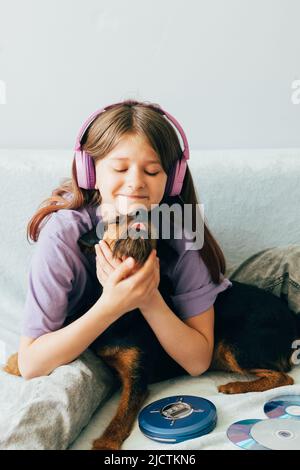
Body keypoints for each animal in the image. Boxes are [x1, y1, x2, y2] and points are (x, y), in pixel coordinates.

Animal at [4, 214, 300, 452]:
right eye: (115, 220)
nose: (139, 222)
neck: (123, 308)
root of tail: (291, 319)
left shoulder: (136, 378)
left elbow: (122, 413)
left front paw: (106, 442)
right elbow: (63, 329)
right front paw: (16, 362)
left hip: (234, 346)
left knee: (283, 377)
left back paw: (236, 385)